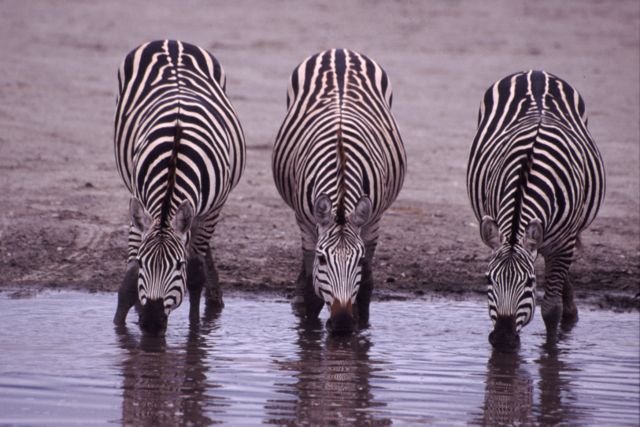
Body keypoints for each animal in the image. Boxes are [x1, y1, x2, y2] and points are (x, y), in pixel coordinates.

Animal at [112, 40, 245, 334]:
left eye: (178, 265)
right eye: (143, 263)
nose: (151, 322)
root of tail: (172, 42)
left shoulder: (212, 210)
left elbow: (195, 274)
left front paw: (195, 331)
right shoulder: (139, 200)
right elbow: (129, 278)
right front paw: (121, 326)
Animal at [272, 47, 404, 334]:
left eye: (358, 260)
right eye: (323, 260)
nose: (342, 323)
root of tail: (340, 51)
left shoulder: (372, 219)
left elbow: (365, 284)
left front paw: (361, 325)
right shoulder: (306, 221)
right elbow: (312, 286)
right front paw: (309, 325)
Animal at [464, 70, 604, 350]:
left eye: (529, 282)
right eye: (488, 279)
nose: (503, 339)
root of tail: (536, 72)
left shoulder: (564, 242)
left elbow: (551, 309)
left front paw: (551, 350)